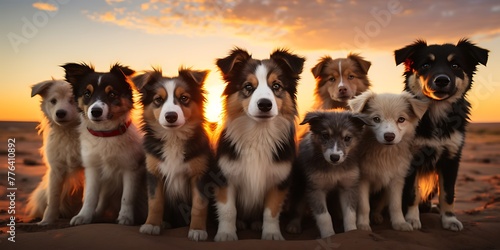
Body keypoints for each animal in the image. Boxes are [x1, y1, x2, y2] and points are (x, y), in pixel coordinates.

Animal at [27, 78, 84, 225]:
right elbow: (53, 199)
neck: (69, 131)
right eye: (53, 101)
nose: (60, 113)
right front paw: (47, 221)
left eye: (73, 100)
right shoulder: (56, 169)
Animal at [212, 47, 304, 241]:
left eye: (276, 86)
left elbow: (271, 211)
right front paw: (226, 234)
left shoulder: (279, 180)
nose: (264, 104)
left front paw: (272, 234)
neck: (258, 133)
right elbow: (228, 210)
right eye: (248, 87)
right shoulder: (225, 176)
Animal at [350, 91, 428, 231]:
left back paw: (376, 217)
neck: (384, 153)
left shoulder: (396, 180)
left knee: (378, 206)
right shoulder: (362, 180)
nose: (389, 136)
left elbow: (395, 205)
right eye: (376, 119)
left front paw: (400, 223)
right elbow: (364, 206)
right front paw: (362, 225)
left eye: (401, 119)